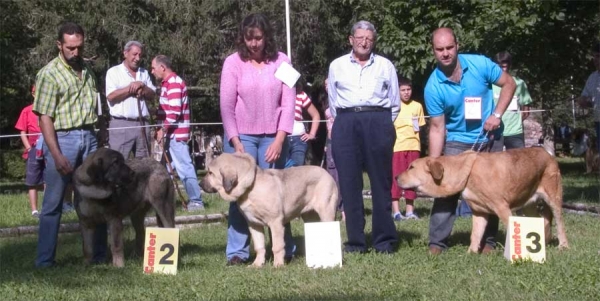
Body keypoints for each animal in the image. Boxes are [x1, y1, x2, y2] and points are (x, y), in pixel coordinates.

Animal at [200, 152, 338, 264]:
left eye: (211, 173)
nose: (200, 184)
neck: (251, 188)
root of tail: (326, 172)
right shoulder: (254, 224)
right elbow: (259, 246)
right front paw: (257, 264)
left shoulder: (275, 222)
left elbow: (277, 246)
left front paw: (278, 265)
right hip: (309, 216)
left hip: (326, 211)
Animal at [396, 148, 568, 253]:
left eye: (411, 167)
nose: (396, 176)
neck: (466, 173)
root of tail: (548, 153)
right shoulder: (479, 212)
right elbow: (476, 234)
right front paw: (471, 253)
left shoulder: (503, 208)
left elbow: (512, 232)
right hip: (528, 204)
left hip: (553, 198)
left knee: (559, 222)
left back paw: (563, 245)